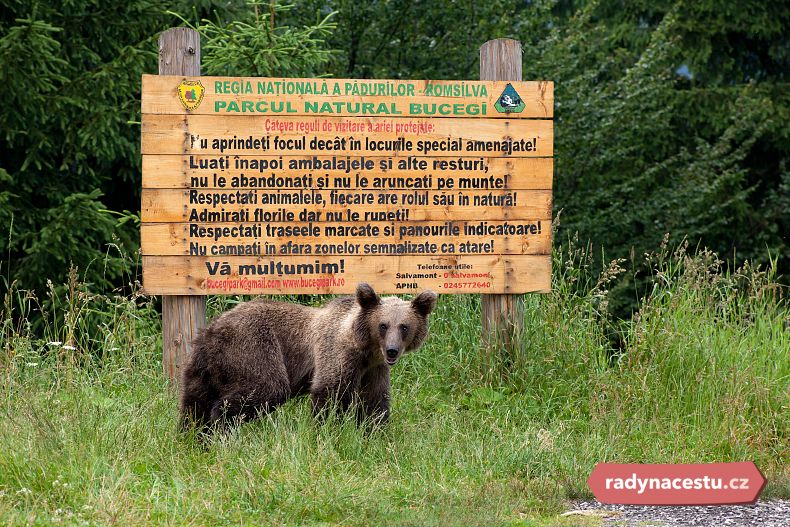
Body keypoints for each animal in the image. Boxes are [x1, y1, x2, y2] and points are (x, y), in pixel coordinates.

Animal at [180, 282, 440, 432]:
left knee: (194, 404)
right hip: (253, 348)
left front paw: (375, 433)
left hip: (204, 367)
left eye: (404, 326)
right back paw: (221, 426)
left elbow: (375, 404)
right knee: (266, 388)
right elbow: (328, 394)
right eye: (383, 325)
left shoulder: (373, 370)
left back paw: (194, 436)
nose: (392, 351)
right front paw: (326, 432)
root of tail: (212, 330)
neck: (364, 349)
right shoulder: (337, 355)